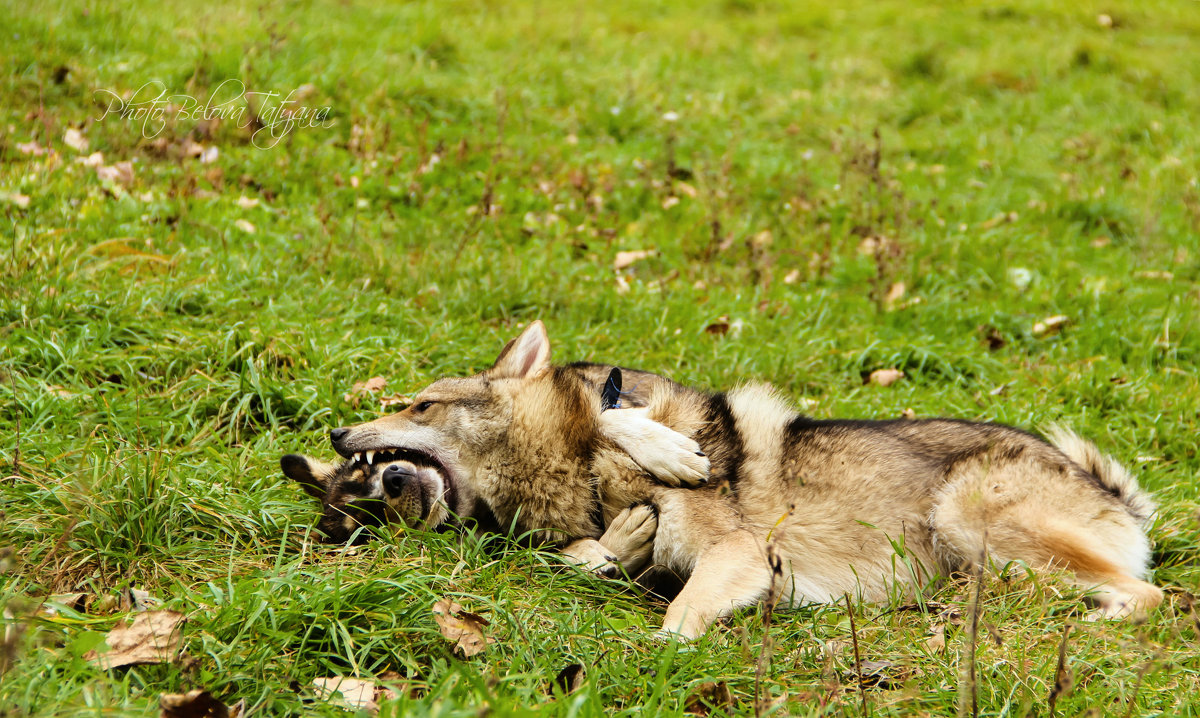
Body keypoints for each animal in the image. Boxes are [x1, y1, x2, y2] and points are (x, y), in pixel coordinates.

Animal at [280, 321, 1161, 643]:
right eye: (353, 505)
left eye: (419, 404)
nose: (335, 435)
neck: (580, 478)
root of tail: (1114, 493)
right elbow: (587, 557)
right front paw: (611, 545)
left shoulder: (736, 555)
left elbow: (676, 618)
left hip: (969, 513)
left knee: (1150, 596)